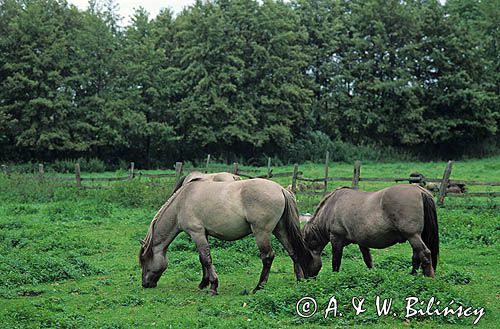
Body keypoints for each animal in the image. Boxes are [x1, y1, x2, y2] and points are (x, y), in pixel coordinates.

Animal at [140, 178, 312, 294]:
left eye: (144, 262)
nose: (145, 284)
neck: (182, 202)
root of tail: (281, 189)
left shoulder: (197, 233)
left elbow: (206, 259)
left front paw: (213, 286)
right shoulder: (203, 234)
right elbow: (203, 259)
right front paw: (204, 283)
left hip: (261, 232)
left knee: (268, 257)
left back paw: (258, 287)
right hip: (280, 230)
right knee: (293, 252)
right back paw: (300, 280)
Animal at [300, 184, 438, 276]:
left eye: (305, 259)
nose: (306, 277)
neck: (331, 207)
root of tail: (420, 190)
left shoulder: (336, 238)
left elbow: (336, 261)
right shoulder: (362, 242)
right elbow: (368, 260)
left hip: (412, 235)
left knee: (424, 253)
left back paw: (428, 277)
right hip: (414, 236)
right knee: (416, 256)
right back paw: (413, 275)